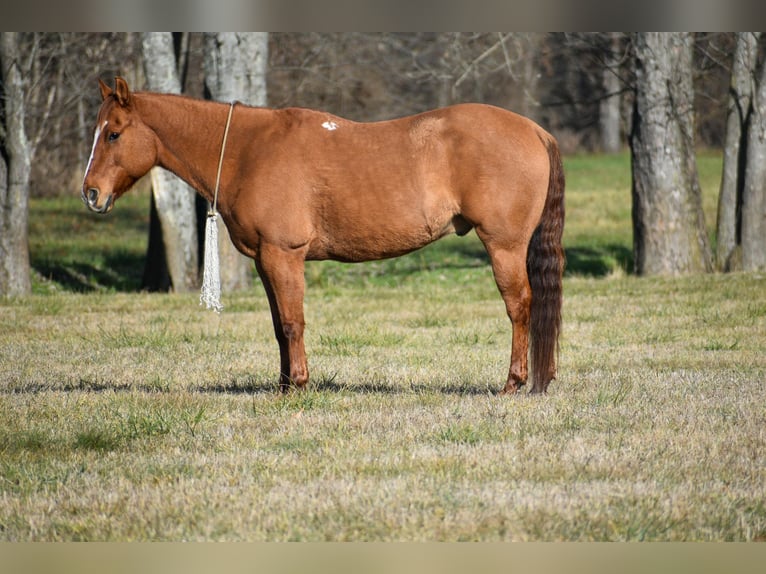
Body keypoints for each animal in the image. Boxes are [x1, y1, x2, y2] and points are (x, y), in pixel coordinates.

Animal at [82, 76, 564, 396]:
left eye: (114, 133)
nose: (91, 194)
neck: (248, 150)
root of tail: (534, 130)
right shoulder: (266, 260)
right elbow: (278, 325)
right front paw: (282, 385)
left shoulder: (284, 254)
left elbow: (292, 323)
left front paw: (298, 385)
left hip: (503, 246)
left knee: (520, 306)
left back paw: (514, 383)